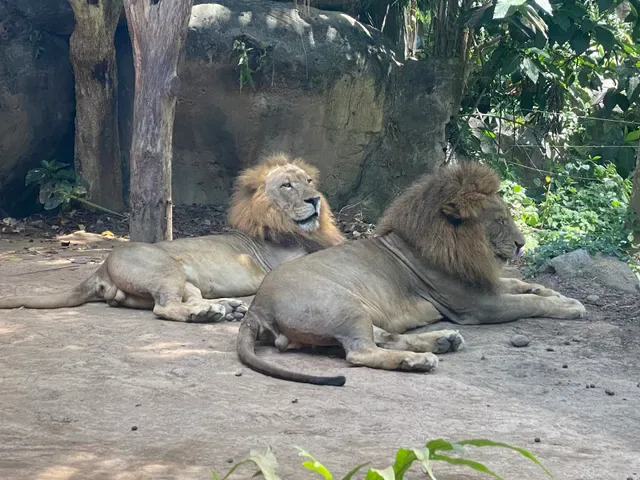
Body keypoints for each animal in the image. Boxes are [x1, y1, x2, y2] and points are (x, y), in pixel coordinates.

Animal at [0, 153, 344, 322]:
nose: (316, 200)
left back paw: (225, 308)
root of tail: (100, 268)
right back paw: (207, 314)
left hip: (180, 282)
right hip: (167, 271)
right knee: (164, 308)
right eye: (287, 185)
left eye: (309, 181)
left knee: (183, 300)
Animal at [237, 162, 586, 386]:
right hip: (343, 305)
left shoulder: (483, 283)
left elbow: (519, 284)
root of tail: (257, 306)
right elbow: (527, 302)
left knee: (383, 337)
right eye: (499, 221)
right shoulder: (477, 305)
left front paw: (554, 292)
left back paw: (442, 341)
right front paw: (569, 306)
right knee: (360, 352)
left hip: (354, 311)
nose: (521, 244)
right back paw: (422, 360)